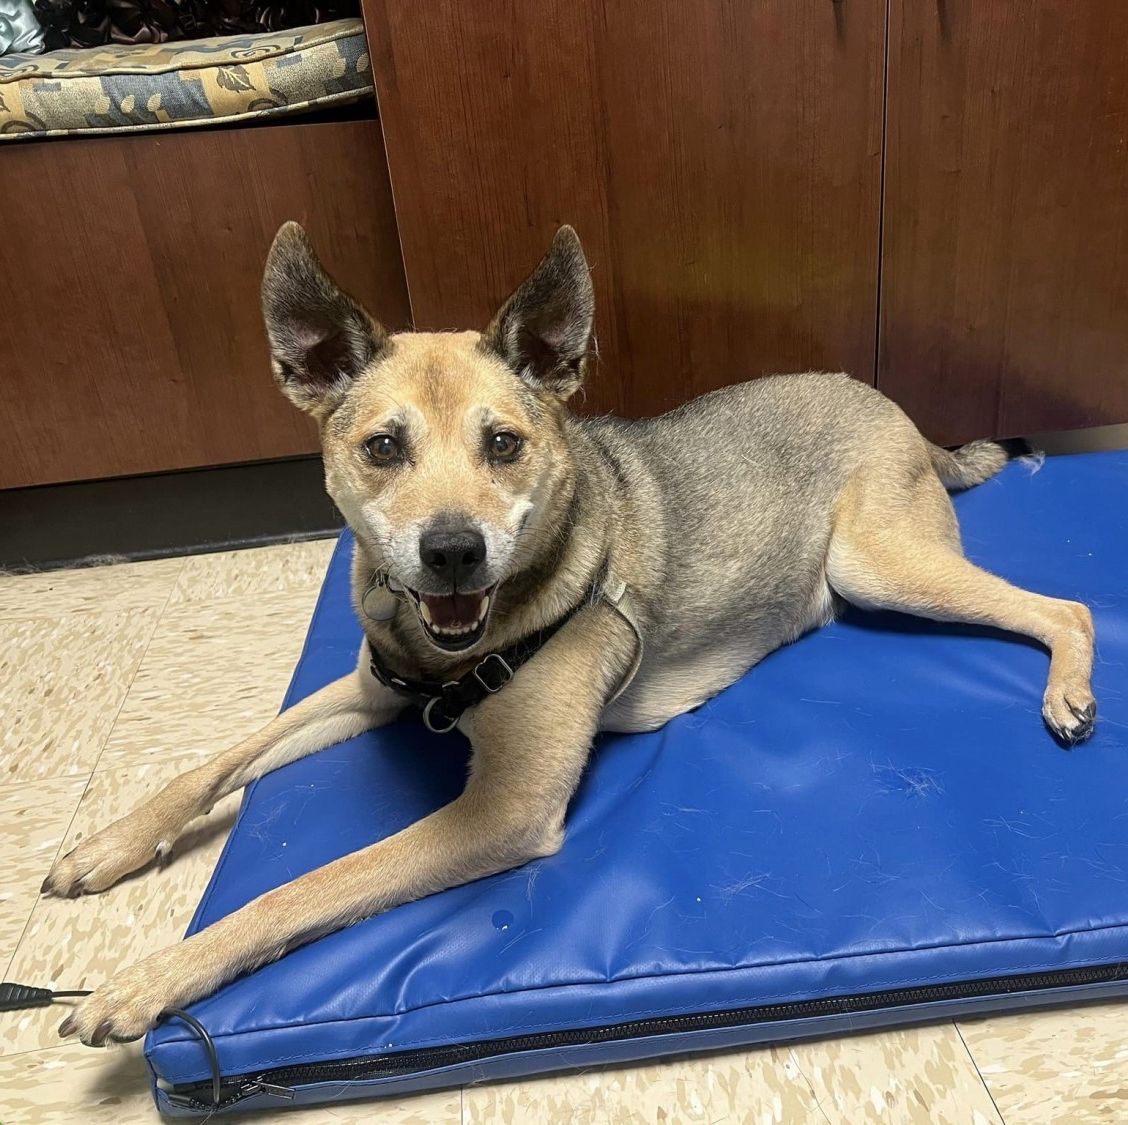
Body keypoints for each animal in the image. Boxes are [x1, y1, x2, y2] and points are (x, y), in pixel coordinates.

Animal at [48, 221, 1096, 1042]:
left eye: (504, 443)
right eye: (382, 446)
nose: (453, 552)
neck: (454, 651)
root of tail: (894, 407)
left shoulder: (502, 810)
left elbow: (302, 888)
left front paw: (153, 977)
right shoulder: (368, 690)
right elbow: (214, 763)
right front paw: (106, 845)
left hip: (876, 561)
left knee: (1068, 607)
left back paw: (1070, 691)